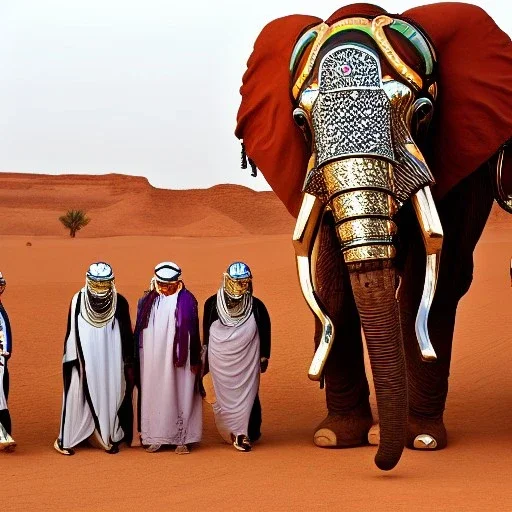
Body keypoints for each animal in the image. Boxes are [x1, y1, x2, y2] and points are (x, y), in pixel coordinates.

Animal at [236, 1, 512, 472]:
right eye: (300, 121)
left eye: (422, 112)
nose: (383, 463)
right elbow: (331, 281)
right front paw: (334, 438)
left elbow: (433, 276)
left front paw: (418, 439)